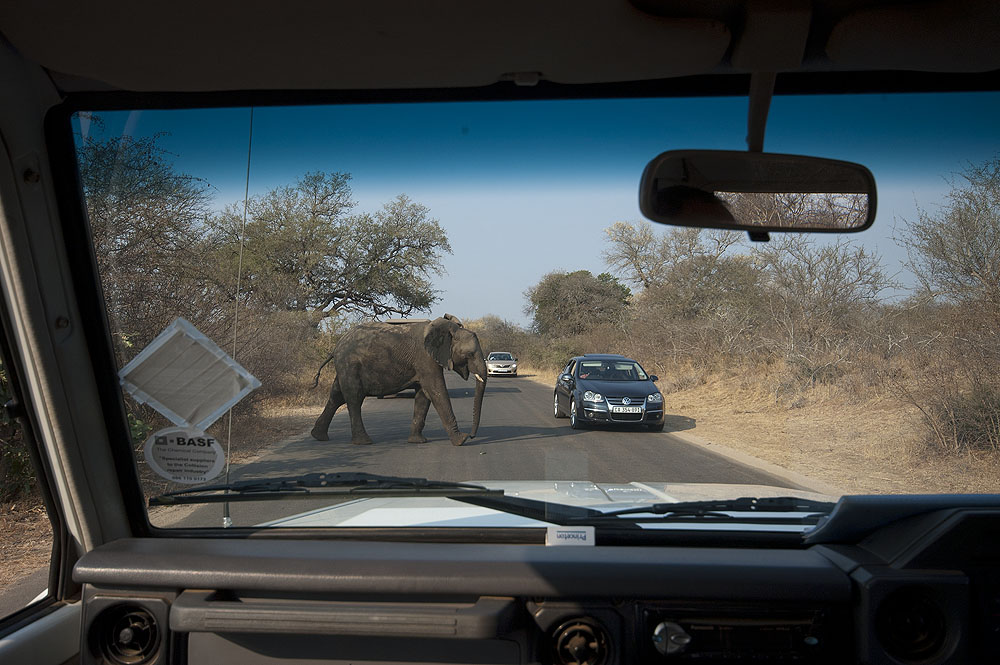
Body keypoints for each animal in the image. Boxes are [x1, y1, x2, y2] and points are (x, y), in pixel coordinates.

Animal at [310, 312, 486, 446]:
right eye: (470, 354)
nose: (472, 435)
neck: (448, 329)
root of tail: (336, 347)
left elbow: (423, 395)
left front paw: (417, 441)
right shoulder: (425, 358)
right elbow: (436, 391)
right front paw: (461, 440)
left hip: (345, 367)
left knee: (336, 396)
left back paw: (318, 436)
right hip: (350, 365)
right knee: (354, 398)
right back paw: (363, 442)